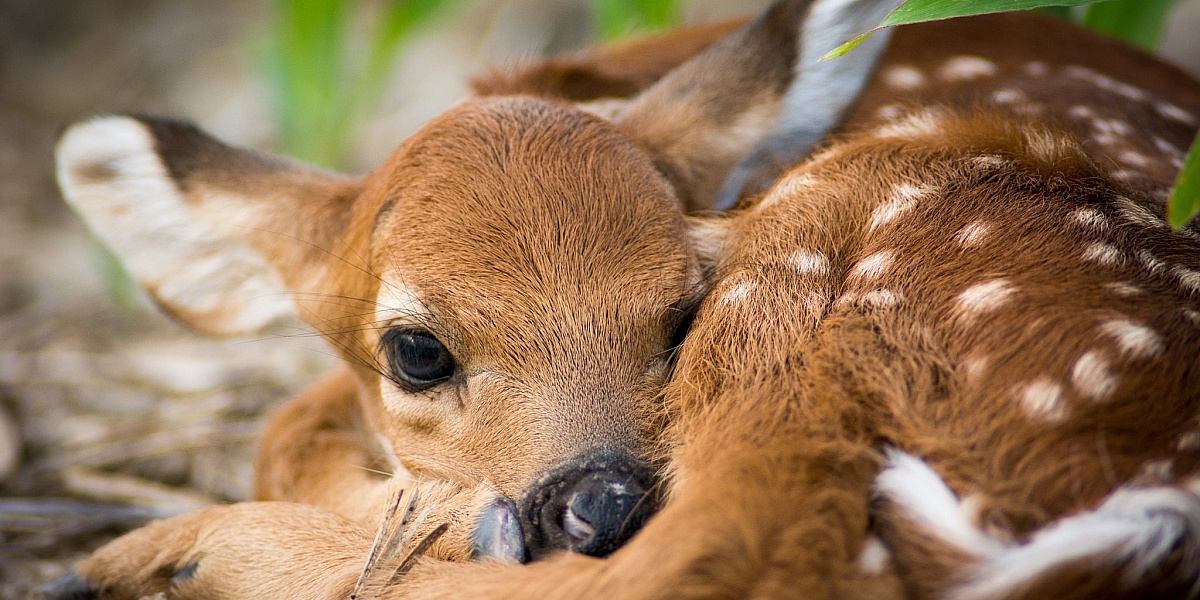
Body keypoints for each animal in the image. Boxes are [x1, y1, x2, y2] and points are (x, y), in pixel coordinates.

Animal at [46, 0, 1200, 597]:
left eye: (681, 313)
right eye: (417, 350)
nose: (600, 500)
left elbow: (287, 429)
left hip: (846, 234)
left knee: (723, 545)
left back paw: (154, 557)